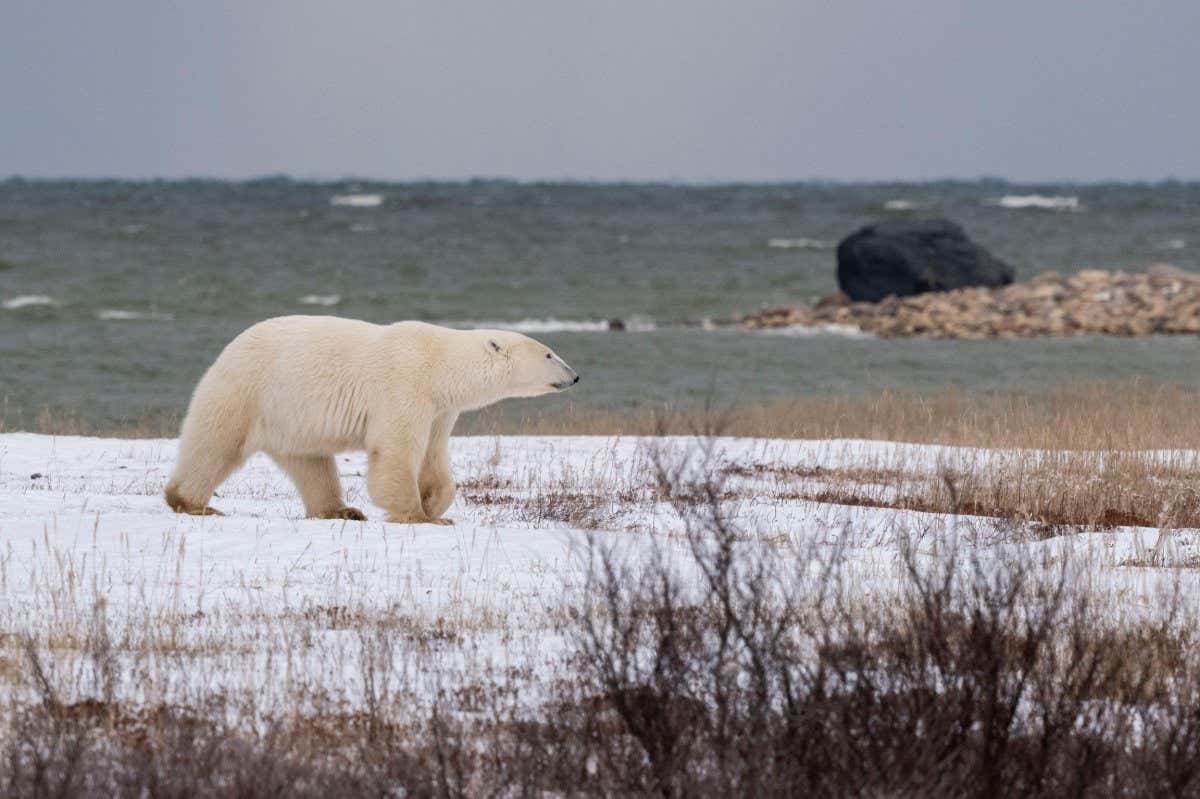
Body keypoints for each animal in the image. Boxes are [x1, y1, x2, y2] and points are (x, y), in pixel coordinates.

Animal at [164, 316, 579, 524]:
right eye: (549, 353)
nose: (574, 376)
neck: (441, 364)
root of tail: (228, 348)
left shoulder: (440, 408)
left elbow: (433, 456)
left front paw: (434, 503)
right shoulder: (406, 384)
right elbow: (395, 450)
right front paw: (418, 515)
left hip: (292, 419)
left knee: (311, 464)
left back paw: (340, 510)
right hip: (248, 389)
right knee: (214, 443)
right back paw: (192, 502)